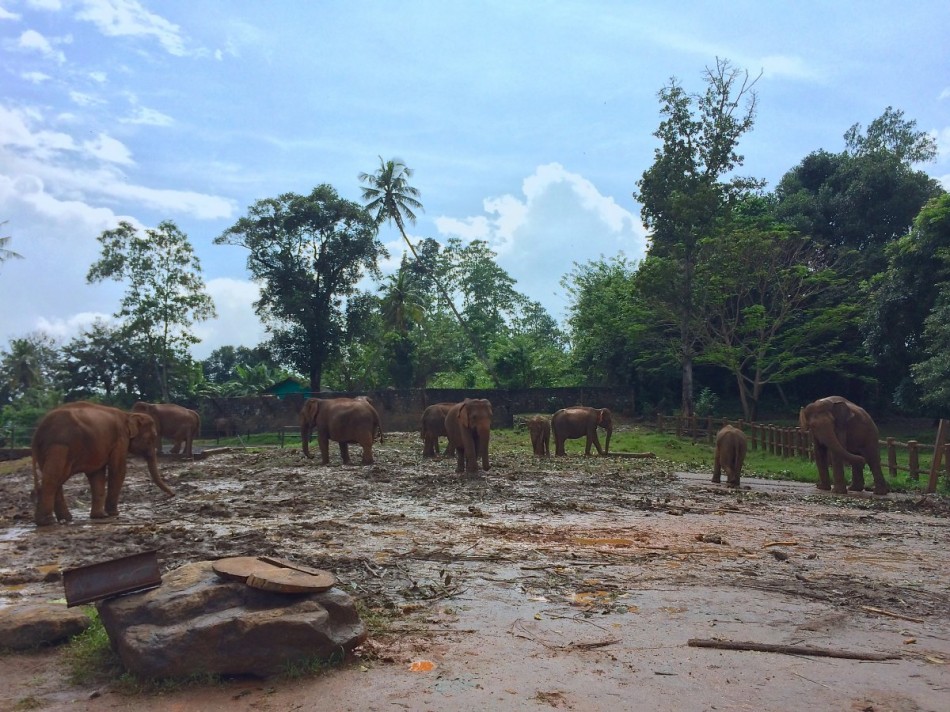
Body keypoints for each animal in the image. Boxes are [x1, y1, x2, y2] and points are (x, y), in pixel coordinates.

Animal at [29, 404, 175, 524]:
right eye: (153, 437)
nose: (173, 494)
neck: (128, 415)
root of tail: (37, 433)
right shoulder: (121, 439)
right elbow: (118, 469)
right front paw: (113, 513)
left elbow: (97, 474)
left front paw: (100, 516)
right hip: (59, 446)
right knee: (54, 479)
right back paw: (47, 521)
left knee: (56, 479)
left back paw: (65, 519)